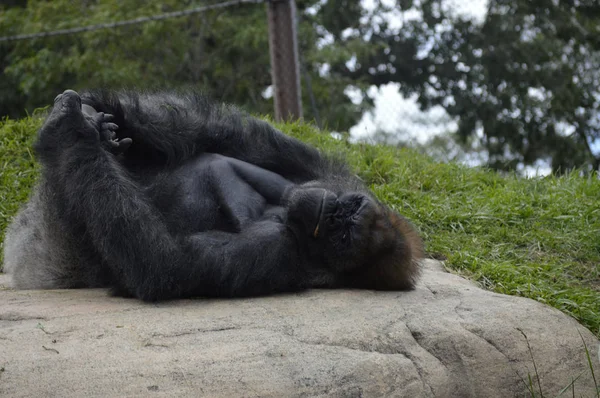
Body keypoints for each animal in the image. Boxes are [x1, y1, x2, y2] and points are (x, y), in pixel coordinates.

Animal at [1, 89, 422, 302]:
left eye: (343, 236)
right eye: (347, 208)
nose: (331, 211)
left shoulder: (277, 255)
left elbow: (165, 262)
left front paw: (71, 131)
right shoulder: (327, 171)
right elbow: (232, 137)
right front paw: (105, 113)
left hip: (49, 248)